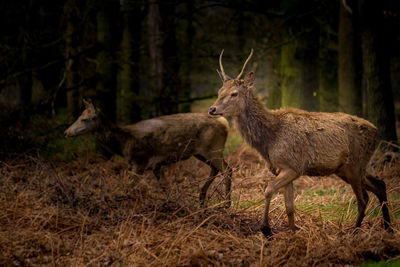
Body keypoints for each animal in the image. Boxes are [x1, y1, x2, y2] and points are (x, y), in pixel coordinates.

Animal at [64, 100, 233, 207]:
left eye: (85, 119)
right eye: (79, 117)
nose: (66, 132)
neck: (123, 144)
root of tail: (225, 123)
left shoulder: (140, 162)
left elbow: (128, 188)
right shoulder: (155, 165)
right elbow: (165, 187)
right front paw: (172, 205)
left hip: (213, 148)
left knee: (227, 169)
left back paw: (226, 203)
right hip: (201, 153)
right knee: (216, 169)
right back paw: (202, 197)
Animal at [208, 48, 390, 237]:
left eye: (234, 93)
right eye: (220, 90)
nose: (212, 109)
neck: (269, 140)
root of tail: (376, 132)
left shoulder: (294, 166)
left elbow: (268, 189)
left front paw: (266, 228)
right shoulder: (284, 168)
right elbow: (289, 206)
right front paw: (293, 232)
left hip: (355, 163)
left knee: (363, 199)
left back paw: (353, 231)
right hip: (347, 169)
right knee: (379, 185)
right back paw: (388, 227)